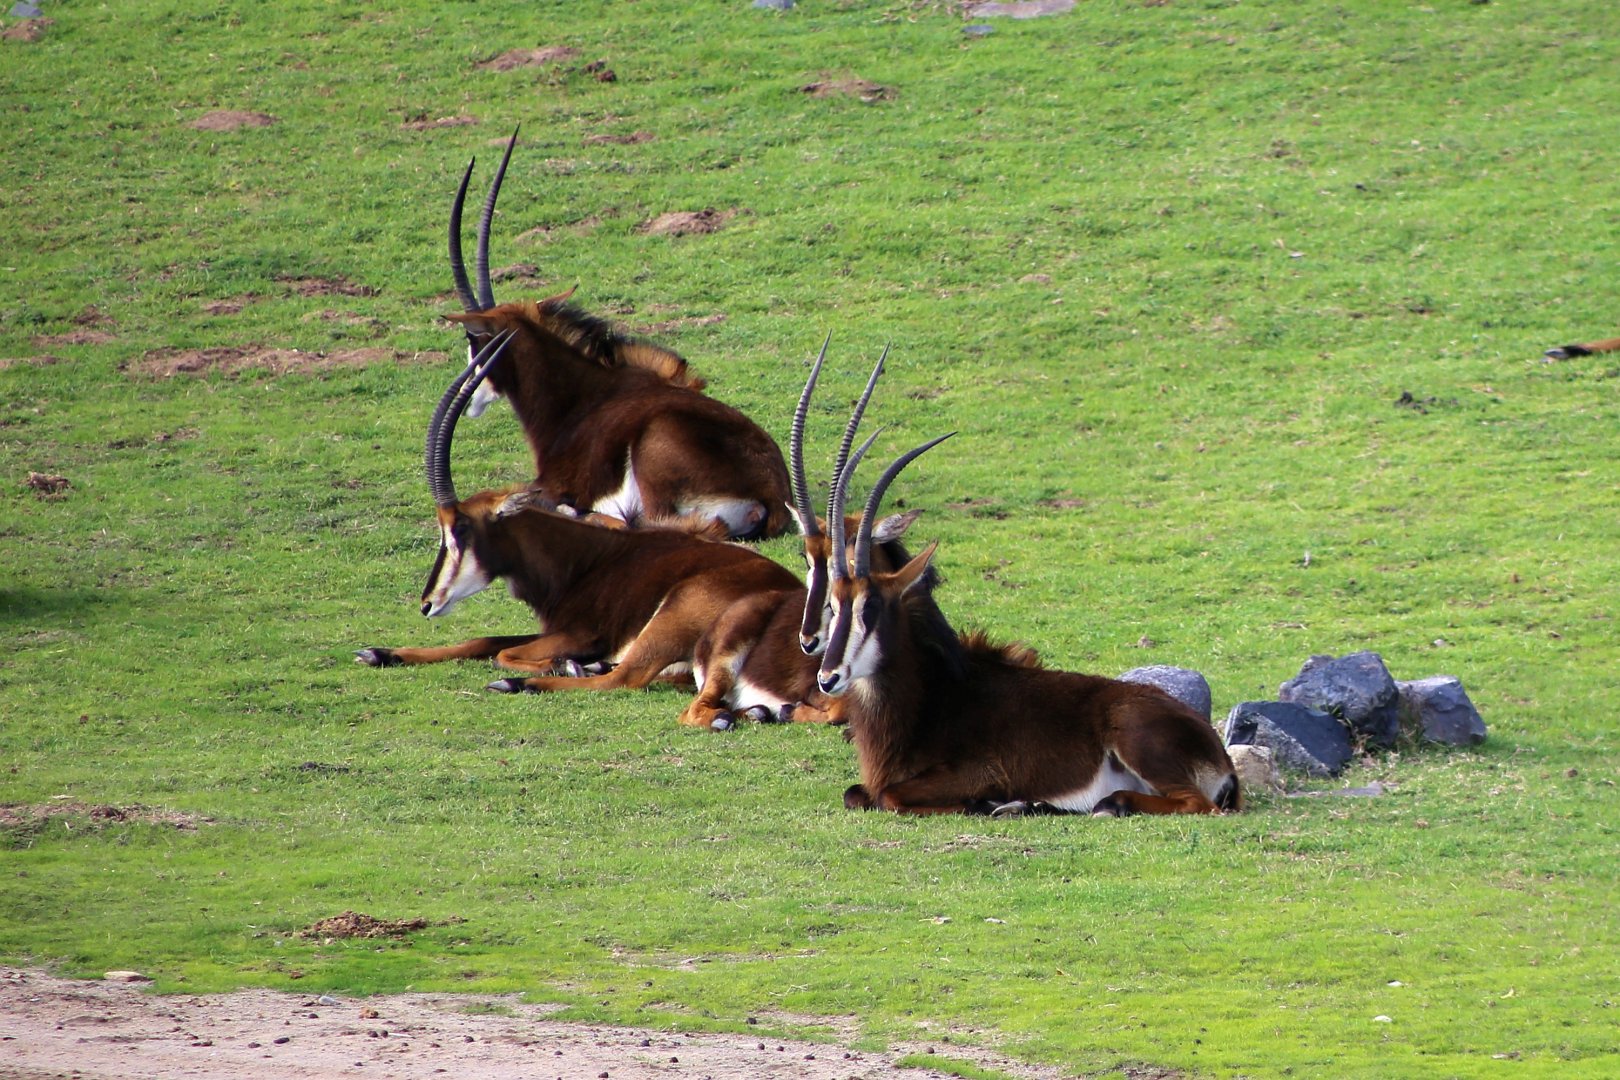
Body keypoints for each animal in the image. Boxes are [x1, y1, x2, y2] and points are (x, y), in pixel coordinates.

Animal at [355, 333, 803, 692]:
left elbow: (503, 652)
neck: (582, 559)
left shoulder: (580, 634)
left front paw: (559, 665)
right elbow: (484, 641)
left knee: (624, 677)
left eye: (461, 529)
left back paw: (527, 681)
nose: (428, 603)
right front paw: (381, 652)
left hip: (673, 614)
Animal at [444, 131, 792, 540]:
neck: (581, 399)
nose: (470, 399)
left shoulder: (551, 484)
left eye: (472, 339)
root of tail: (772, 498)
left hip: (655, 452)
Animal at [812, 436, 1242, 817]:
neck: (933, 694)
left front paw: (985, 804)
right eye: (834, 604)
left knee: (1197, 805)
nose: (827, 678)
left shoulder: (980, 771)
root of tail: (1217, 753)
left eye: (871, 606)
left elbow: (889, 795)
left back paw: (1100, 804)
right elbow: (856, 793)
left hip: (1136, 740)